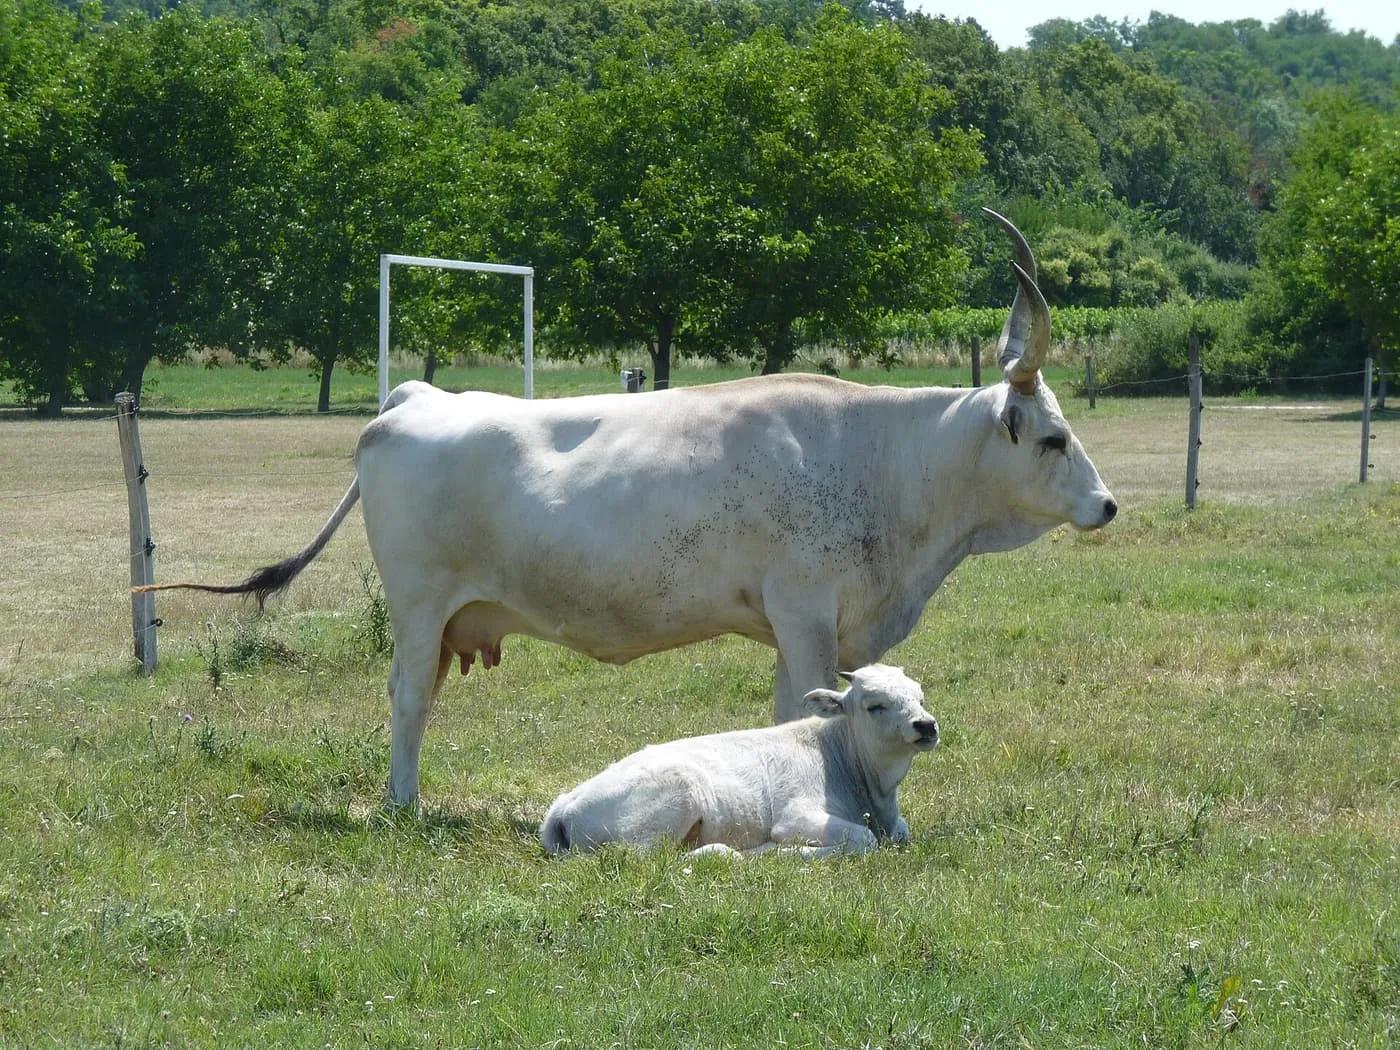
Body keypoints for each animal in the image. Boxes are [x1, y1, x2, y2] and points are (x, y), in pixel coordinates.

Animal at [140, 210, 1116, 806]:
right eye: (1052, 438)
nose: (1107, 505)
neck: (887, 461)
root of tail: (411, 399)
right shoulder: (805, 615)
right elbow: (799, 715)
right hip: (416, 607)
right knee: (409, 698)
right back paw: (403, 804)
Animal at [539, 664, 938, 858]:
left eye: (919, 697)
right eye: (875, 705)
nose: (926, 725)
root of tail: (564, 803)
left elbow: (901, 832)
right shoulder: (797, 817)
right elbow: (863, 840)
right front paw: (782, 851)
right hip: (670, 806)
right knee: (643, 859)